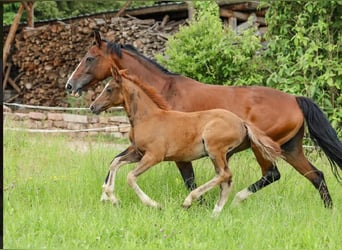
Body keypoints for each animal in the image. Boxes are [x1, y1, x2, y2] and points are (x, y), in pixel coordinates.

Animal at [89, 68, 282, 215]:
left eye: (109, 89)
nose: (92, 107)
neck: (147, 118)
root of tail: (242, 122)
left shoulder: (154, 156)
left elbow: (130, 177)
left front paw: (155, 205)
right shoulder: (138, 153)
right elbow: (115, 163)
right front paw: (113, 199)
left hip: (215, 149)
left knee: (224, 175)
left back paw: (189, 201)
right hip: (221, 154)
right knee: (227, 180)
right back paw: (215, 213)